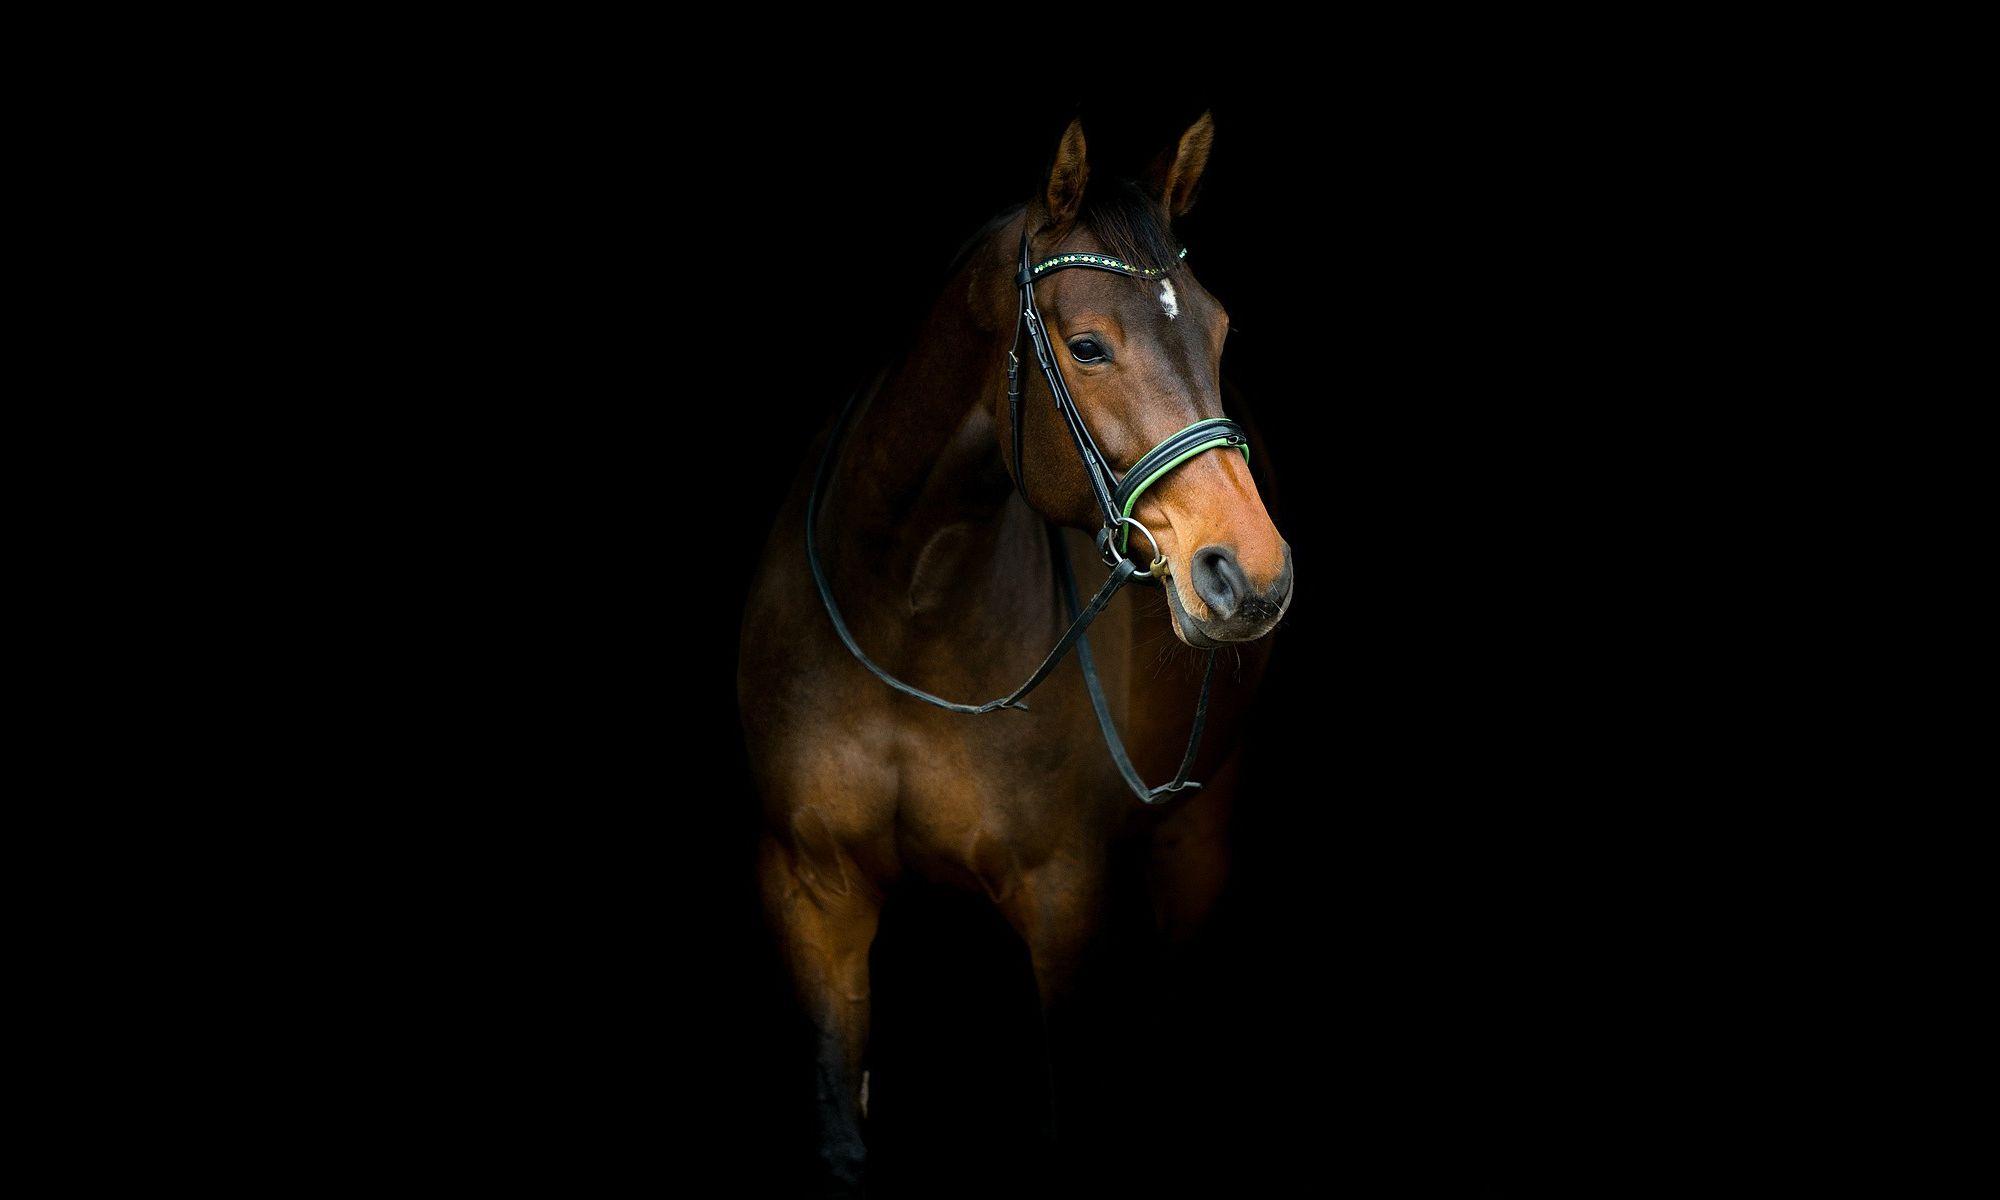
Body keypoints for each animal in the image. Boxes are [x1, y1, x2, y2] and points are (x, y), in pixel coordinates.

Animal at [738, 113, 1293, 1192]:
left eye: (1217, 332)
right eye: (1087, 346)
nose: (1249, 573)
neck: (905, 607)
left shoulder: (1063, 902)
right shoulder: (811, 893)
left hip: (1195, 841)